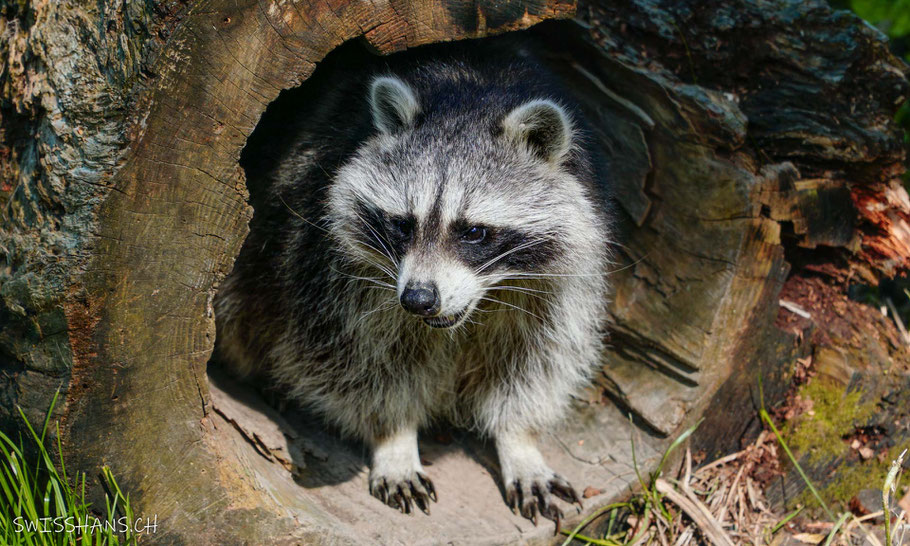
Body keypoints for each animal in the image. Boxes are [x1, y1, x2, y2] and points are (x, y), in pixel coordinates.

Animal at [216, 39, 612, 524]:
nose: (418, 299)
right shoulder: (330, 272)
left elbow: (534, 364)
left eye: (473, 231)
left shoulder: (556, 287)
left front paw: (519, 442)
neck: (474, 92)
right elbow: (355, 361)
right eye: (403, 225)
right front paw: (395, 439)